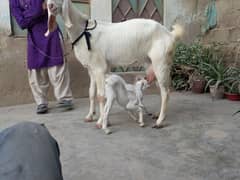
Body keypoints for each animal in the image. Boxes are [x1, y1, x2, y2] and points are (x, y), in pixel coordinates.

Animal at [45, 0, 184, 134]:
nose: (50, 5)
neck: (84, 31)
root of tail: (170, 34)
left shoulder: (99, 68)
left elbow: (101, 96)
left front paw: (101, 122)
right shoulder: (91, 69)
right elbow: (91, 93)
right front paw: (90, 116)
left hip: (161, 63)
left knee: (165, 92)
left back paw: (159, 122)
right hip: (152, 64)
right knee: (162, 90)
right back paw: (157, 115)